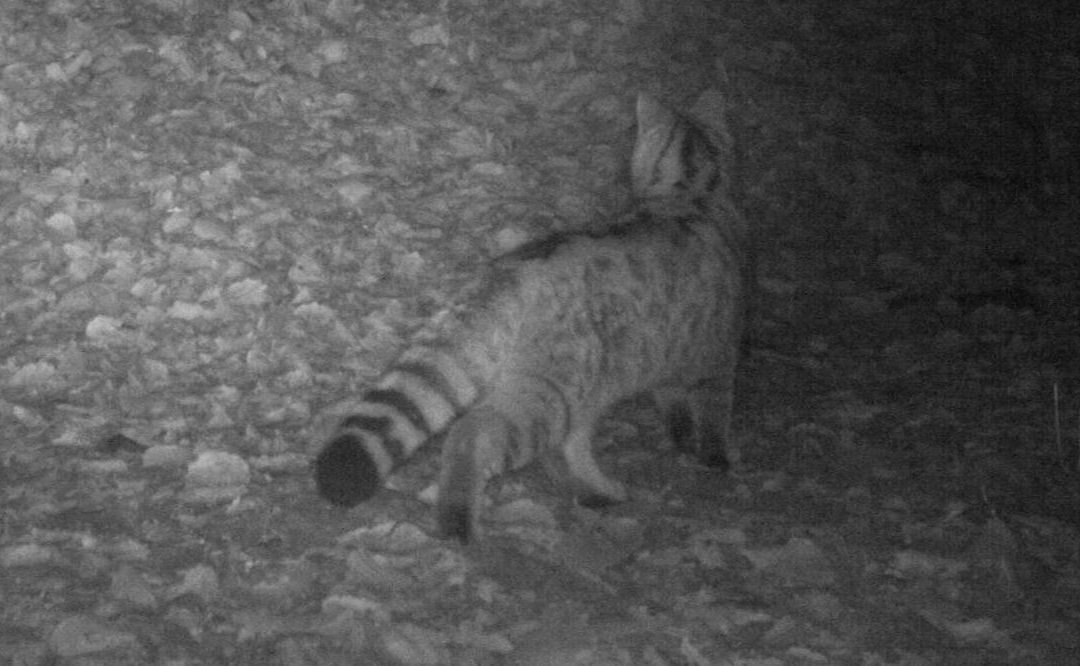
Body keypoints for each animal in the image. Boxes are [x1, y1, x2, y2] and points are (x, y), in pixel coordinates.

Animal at [315, 92, 747, 539]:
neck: (689, 191)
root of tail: (514, 267)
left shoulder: (673, 356)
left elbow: (674, 404)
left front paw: (682, 439)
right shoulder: (719, 355)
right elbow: (714, 415)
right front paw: (715, 457)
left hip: (583, 387)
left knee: (566, 448)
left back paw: (596, 490)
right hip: (553, 391)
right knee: (478, 434)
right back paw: (459, 519)